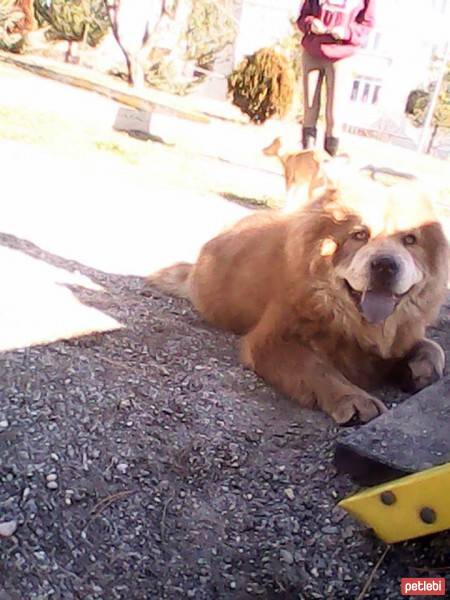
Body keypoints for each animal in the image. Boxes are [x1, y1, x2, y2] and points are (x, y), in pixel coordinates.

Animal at [149, 170, 448, 422]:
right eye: (359, 235)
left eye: (410, 240)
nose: (385, 265)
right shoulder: (273, 340)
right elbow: (318, 369)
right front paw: (354, 399)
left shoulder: (402, 335)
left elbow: (433, 346)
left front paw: (421, 368)